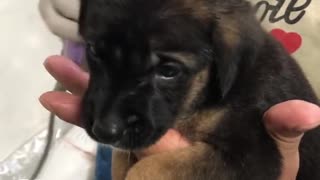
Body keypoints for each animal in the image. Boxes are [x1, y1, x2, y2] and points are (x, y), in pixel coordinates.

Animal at [78, 0, 320, 179]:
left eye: (168, 71)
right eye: (93, 51)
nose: (104, 132)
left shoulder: (255, 156)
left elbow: (150, 167)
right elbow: (121, 161)